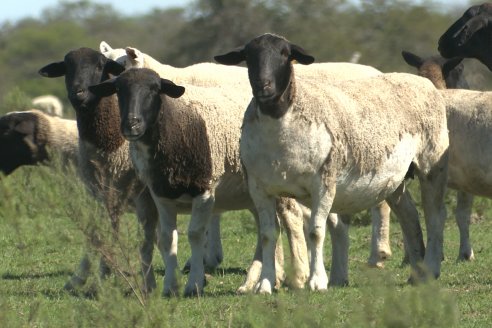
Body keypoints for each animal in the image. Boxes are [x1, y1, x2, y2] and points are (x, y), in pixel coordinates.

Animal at [215, 34, 450, 294]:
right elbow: (268, 235)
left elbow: (316, 232)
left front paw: (317, 281)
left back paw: (431, 269)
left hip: (432, 164)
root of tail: (422, 82)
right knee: (409, 216)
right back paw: (417, 273)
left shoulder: (323, 182)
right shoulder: (259, 188)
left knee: (435, 216)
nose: (263, 85)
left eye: (285, 54)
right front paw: (264, 285)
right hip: (394, 179)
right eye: (248, 56)